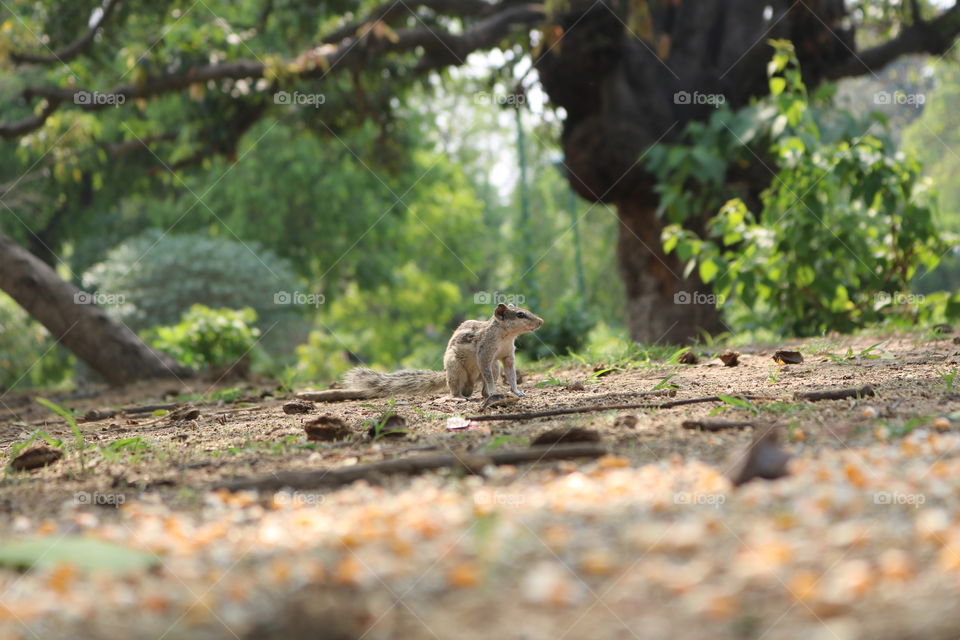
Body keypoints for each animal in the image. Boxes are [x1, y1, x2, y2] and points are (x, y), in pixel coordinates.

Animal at [344, 303, 543, 399]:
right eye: (520, 314)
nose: (541, 321)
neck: (505, 336)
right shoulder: (485, 353)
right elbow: (487, 374)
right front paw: (495, 390)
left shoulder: (507, 356)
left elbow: (511, 374)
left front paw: (517, 392)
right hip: (455, 368)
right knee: (455, 390)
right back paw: (460, 397)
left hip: (495, 367)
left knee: (482, 389)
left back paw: (485, 395)